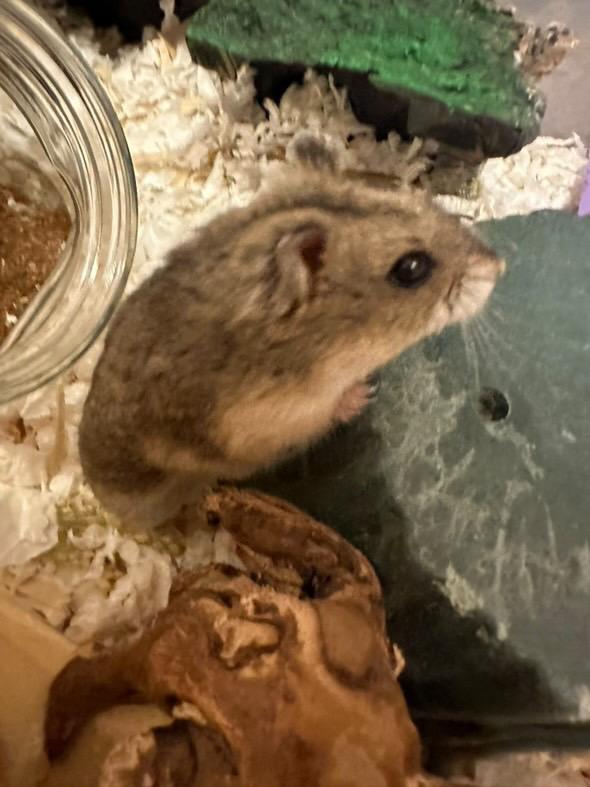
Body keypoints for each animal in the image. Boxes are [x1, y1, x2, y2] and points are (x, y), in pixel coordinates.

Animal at [79, 136, 505, 528]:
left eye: (407, 189)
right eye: (411, 268)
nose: (499, 265)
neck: (322, 341)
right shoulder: (282, 419)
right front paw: (365, 392)